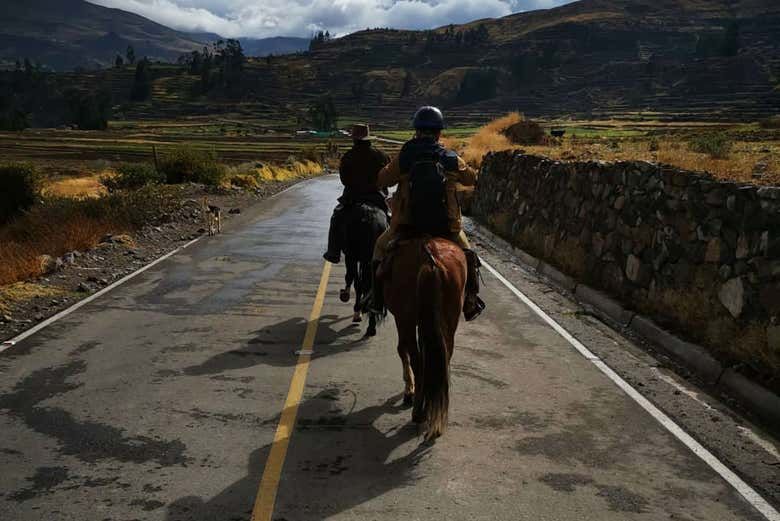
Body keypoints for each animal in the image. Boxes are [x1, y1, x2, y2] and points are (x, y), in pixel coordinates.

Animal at [338, 201, 386, 336]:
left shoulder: (350, 256)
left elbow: (351, 277)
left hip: (355, 255)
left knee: (360, 283)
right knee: (370, 286)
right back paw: (371, 327)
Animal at [380, 237, 466, 438]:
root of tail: (430, 256)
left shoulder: (402, 319)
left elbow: (401, 349)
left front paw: (408, 390)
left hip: (407, 317)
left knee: (417, 361)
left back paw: (419, 411)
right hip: (449, 319)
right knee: (443, 356)